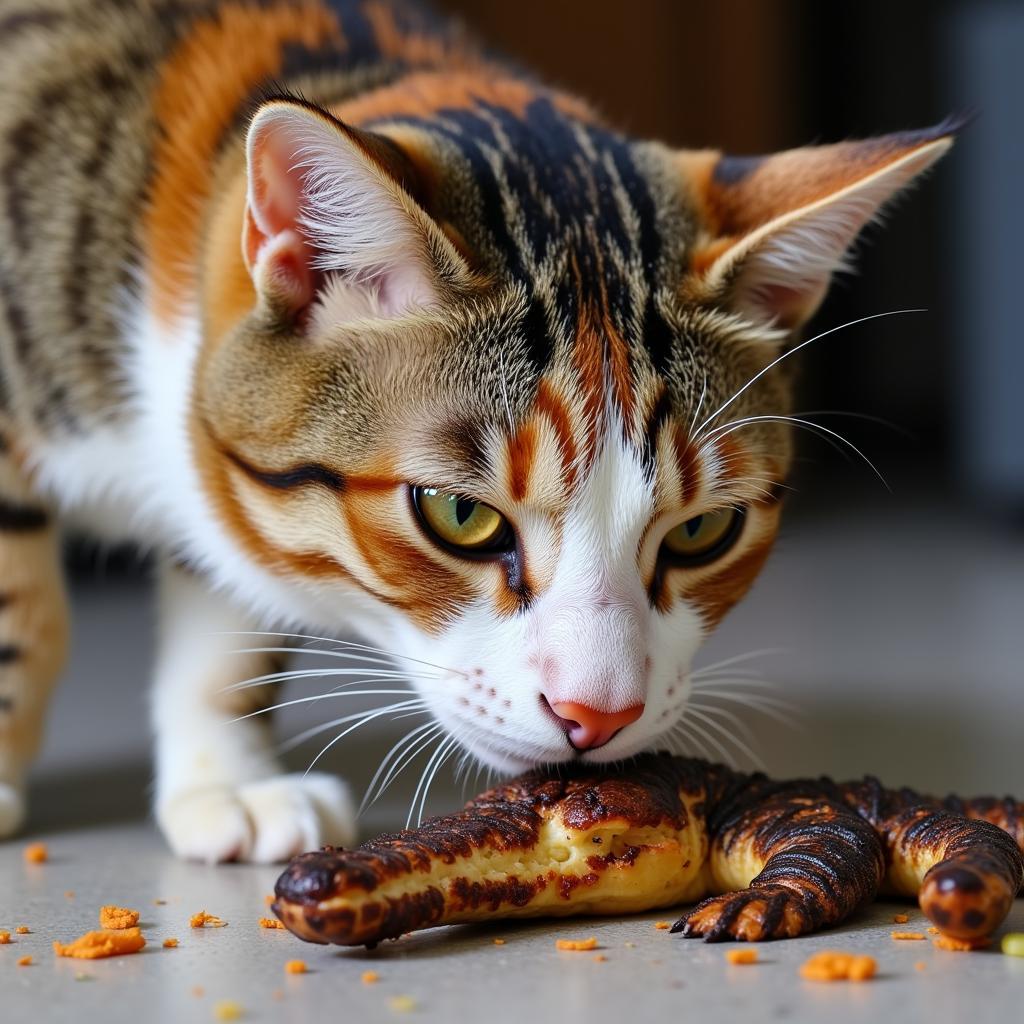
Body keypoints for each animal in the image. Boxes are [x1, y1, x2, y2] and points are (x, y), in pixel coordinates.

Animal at [2, 0, 958, 864]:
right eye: (459, 516)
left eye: (704, 530)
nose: (596, 715)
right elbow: (27, 615)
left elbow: (227, 610)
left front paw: (226, 780)